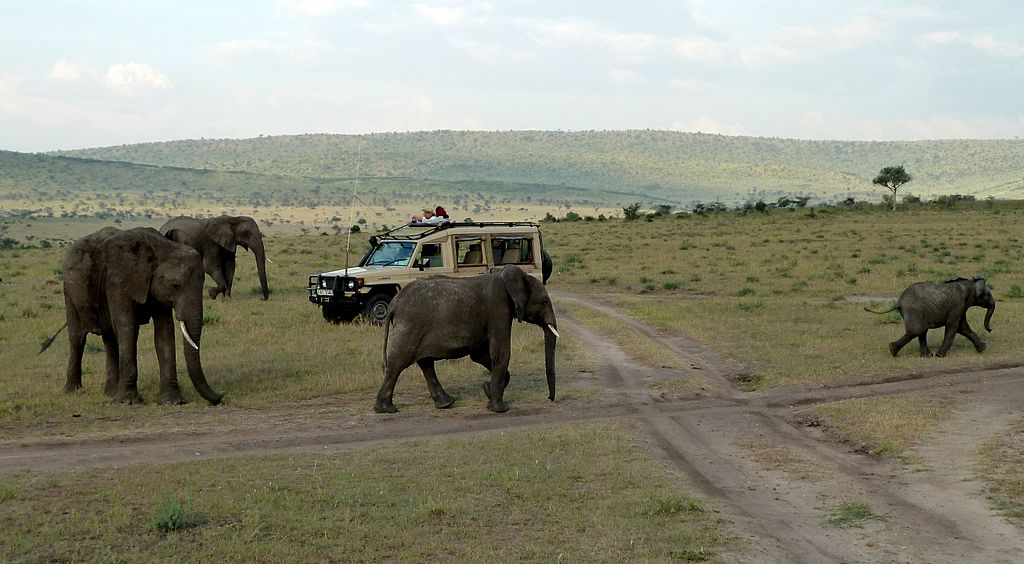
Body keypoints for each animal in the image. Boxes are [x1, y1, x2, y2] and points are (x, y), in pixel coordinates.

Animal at [47, 226, 223, 405]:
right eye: (176, 285)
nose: (220, 397)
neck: (161, 247)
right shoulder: (118, 281)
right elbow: (127, 328)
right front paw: (128, 402)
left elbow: (164, 332)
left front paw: (172, 401)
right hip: (69, 291)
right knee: (77, 338)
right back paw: (72, 391)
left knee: (110, 339)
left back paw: (111, 392)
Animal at [374, 264, 557, 415]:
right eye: (544, 302)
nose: (549, 399)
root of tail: (393, 303)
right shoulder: (499, 308)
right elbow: (500, 352)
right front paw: (500, 409)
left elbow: (480, 355)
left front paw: (487, 389)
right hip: (411, 326)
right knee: (399, 362)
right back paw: (386, 409)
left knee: (425, 363)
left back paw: (446, 403)